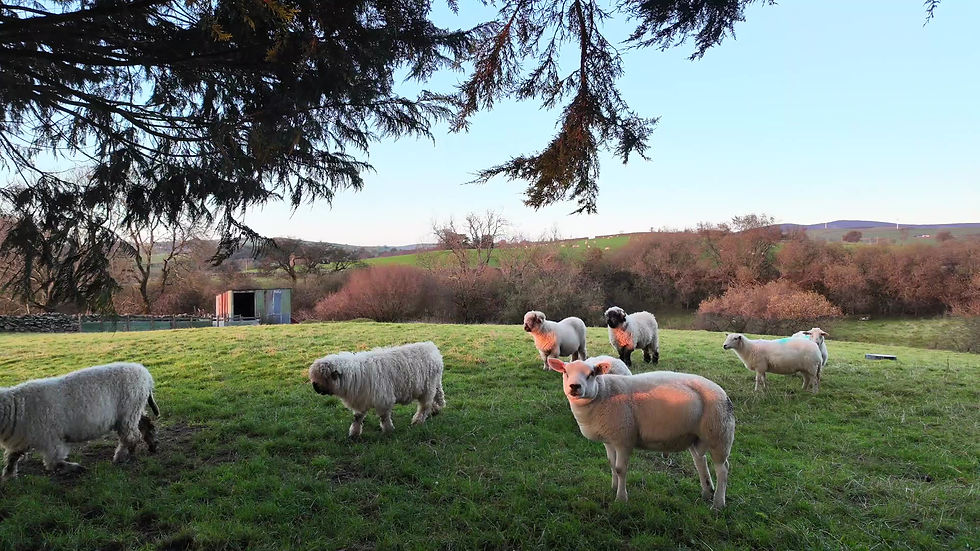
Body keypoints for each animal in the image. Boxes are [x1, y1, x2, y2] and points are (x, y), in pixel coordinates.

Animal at [1, 362, 160, 480]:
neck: (17, 407)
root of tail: (146, 375)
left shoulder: (50, 439)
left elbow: (54, 462)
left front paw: (77, 468)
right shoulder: (22, 440)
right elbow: (12, 458)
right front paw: (8, 476)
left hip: (129, 410)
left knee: (131, 436)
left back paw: (122, 456)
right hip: (134, 410)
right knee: (145, 424)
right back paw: (151, 445)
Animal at [308, 341, 445, 437]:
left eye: (321, 378)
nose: (314, 387)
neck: (354, 375)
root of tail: (432, 348)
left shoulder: (383, 399)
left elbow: (384, 417)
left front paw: (388, 430)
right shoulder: (361, 399)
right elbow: (358, 417)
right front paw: (354, 433)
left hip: (427, 388)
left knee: (424, 406)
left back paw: (418, 421)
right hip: (435, 384)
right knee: (438, 396)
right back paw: (435, 410)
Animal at [547, 358, 735, 509]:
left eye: (591, 374)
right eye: (565, 372)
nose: (574, 386)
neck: (603, 393)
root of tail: (723, 393)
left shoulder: (624, 439)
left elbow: (620, 468)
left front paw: (621, 498)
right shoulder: (609, 439)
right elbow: (611, 464)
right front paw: (613, 487)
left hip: (720, 435)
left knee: (723, 468)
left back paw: (718, 503)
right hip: (697, 437)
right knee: (700, 461)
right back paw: (707, 491)